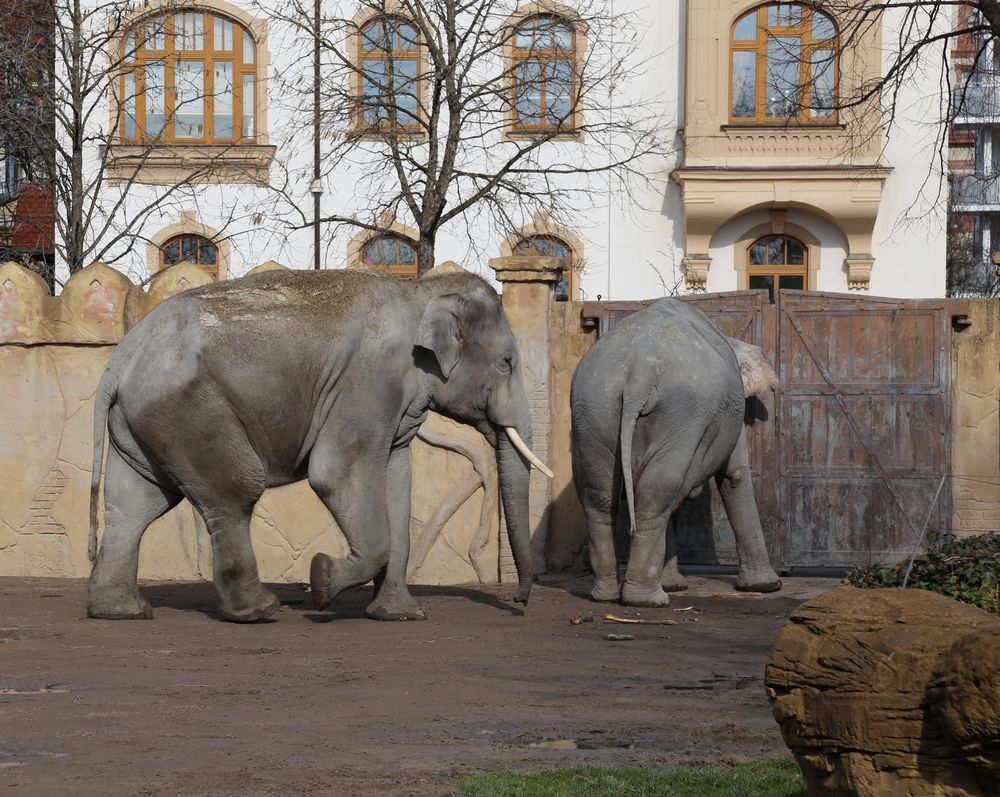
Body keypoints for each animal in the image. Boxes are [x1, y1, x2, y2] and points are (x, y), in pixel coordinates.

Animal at [87, 266, 552, 620]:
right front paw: (322, 581)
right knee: (234, 492)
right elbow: (336, 473)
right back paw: (260, 611)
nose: (519, 601)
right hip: (188, 411)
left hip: (142, 421)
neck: (420, 291)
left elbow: (396, 485)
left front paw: (401, 615)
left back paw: (121, 611)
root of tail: (123, 352)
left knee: (135, 505)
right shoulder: (368, 381)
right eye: (507, 363)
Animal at [572, 296, 780, 604]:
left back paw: (608, 594)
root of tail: (638, 373)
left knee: (600, 493)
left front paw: (674, 584)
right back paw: (648, 598)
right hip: (682, 413)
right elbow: (735, 477)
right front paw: (767, 586)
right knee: (659, 490)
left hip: (593, 408)